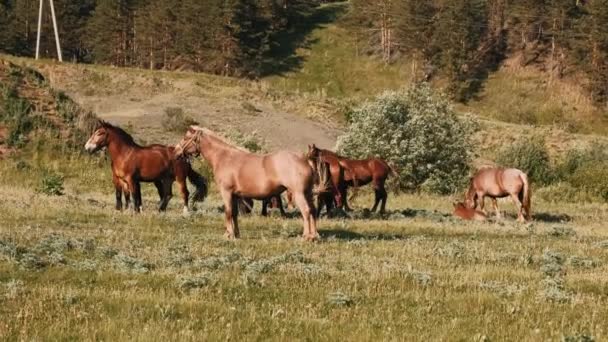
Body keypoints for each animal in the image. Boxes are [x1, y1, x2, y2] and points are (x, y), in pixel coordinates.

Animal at [175, 125, 318, 240]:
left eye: (186, 137)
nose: (176, 152)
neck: (224, 157)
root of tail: (304, 160)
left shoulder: (226, 192)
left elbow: (228, 212)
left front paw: (228, 235)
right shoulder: (235, 195)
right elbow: (234, 214)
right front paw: (236, 234)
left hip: (299, 193)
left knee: (306, 211)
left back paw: (306, 237)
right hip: (307, 193)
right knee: (312, 211)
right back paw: (315, 236)